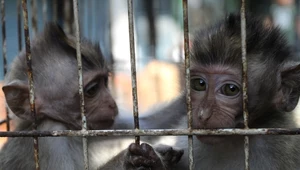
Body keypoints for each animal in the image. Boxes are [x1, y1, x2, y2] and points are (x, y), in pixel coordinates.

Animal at [0, 23, 183, 170]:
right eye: (92, 90)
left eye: (105, 81)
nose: (112, 103)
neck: (68, 128)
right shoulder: (50, 138)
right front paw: (132, 160)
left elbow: (148, 124)